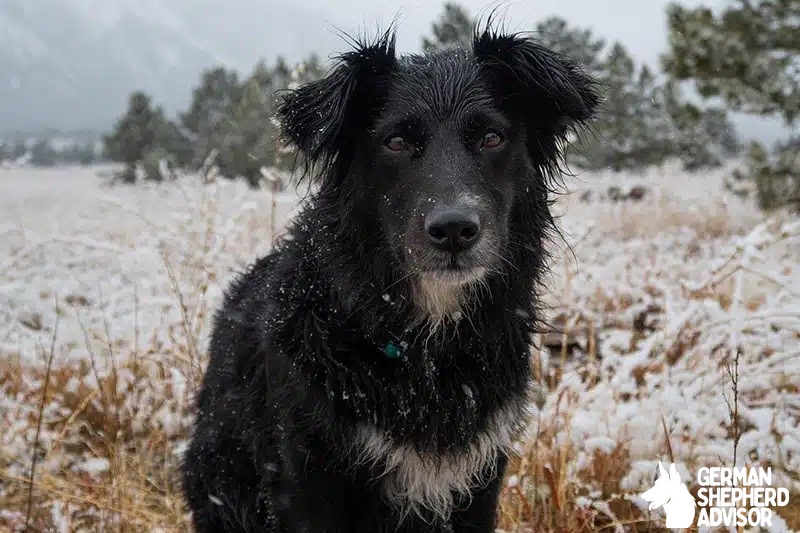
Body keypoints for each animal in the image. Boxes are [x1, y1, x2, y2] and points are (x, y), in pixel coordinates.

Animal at [180, 22, 592, 528]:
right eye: (396, 142)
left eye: (491, 138)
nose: (454, 229)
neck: (426, 350)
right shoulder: (308, 476)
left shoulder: (479, 476)